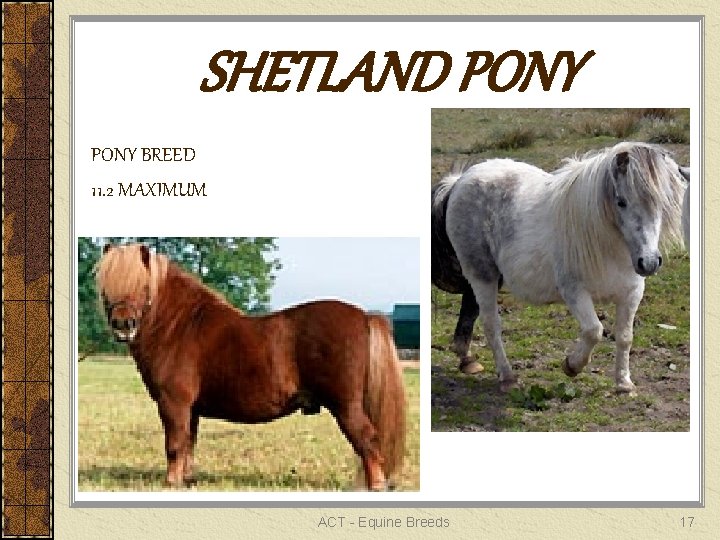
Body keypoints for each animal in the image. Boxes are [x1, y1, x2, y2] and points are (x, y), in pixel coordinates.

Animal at [95, 243, 406, 490]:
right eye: (105, 288)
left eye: (143, 285)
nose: (123, 325)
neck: (179, 327)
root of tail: (364, 316)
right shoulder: (190, 409)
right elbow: (187, 444)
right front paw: (185, 480)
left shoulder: (173, 403)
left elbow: (174, 444)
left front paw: (170, 482)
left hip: (346, 406)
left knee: (367, 440)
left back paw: (377, 486)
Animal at [431, 141, 685, 392]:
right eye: (621, 202)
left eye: (662, 202)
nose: (649, 262)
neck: (607, 244)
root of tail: (459, 181)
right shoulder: (574, 291)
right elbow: (594, 331)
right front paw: (572, 366)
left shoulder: (631, 293)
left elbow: (624, 336)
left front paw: (624, 383)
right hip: (482, 275)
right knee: (491, 324)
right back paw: (507, 376)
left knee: (470, 310)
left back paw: (467, 360)